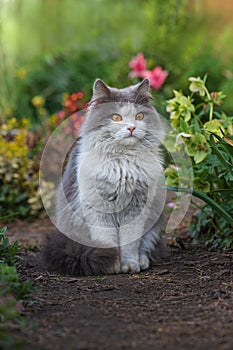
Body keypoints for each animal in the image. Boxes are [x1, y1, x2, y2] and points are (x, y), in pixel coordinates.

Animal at [41, 77, 166, 276]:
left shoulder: (137, 208)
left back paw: (142, 260)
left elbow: (130, 243)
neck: (123, 162)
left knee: (146, 246)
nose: (131, 127)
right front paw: (112, 265)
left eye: (139, 116)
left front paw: (129, 265)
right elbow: (107, 240)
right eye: (116, 117)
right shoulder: (98, 208)